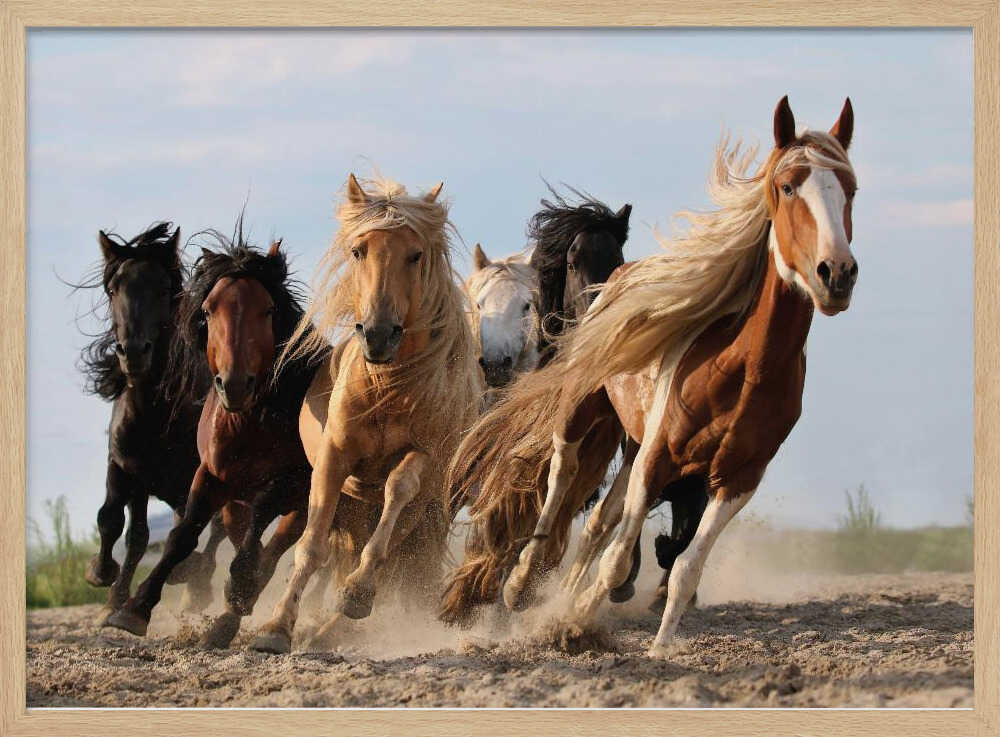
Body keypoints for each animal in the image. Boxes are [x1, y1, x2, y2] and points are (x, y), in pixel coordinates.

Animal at [75, 223, 224, 624]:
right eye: (113, 289)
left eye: (162, 288)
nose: (133, 352)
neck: (154, 414)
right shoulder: (126, 467)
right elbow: (117, 523)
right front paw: (105, 582)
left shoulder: (195, 476)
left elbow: (191, 528)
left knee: (215, 530)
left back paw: (195, 585)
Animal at [104, 224, 326, 648]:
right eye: (208, 310)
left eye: (267, 310)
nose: (234, 385)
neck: (251, 421)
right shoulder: (209, 476)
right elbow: (182, 536)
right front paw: (133, 609)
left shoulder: (288, 483)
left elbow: (259, 529)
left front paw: (237, 590)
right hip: (236, 503)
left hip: (304, 503)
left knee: (272, 551)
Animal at [249, 175, 482, 654]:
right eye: (359, 251)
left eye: (415, 255)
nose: (377, 335)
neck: (387, 389)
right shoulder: (334, 460)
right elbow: (311, 547)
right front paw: (275, 627)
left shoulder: (422, 458)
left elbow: (397, 492)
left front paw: (357, 593)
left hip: (421, 514)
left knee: (390, 556)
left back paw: (335, 624)